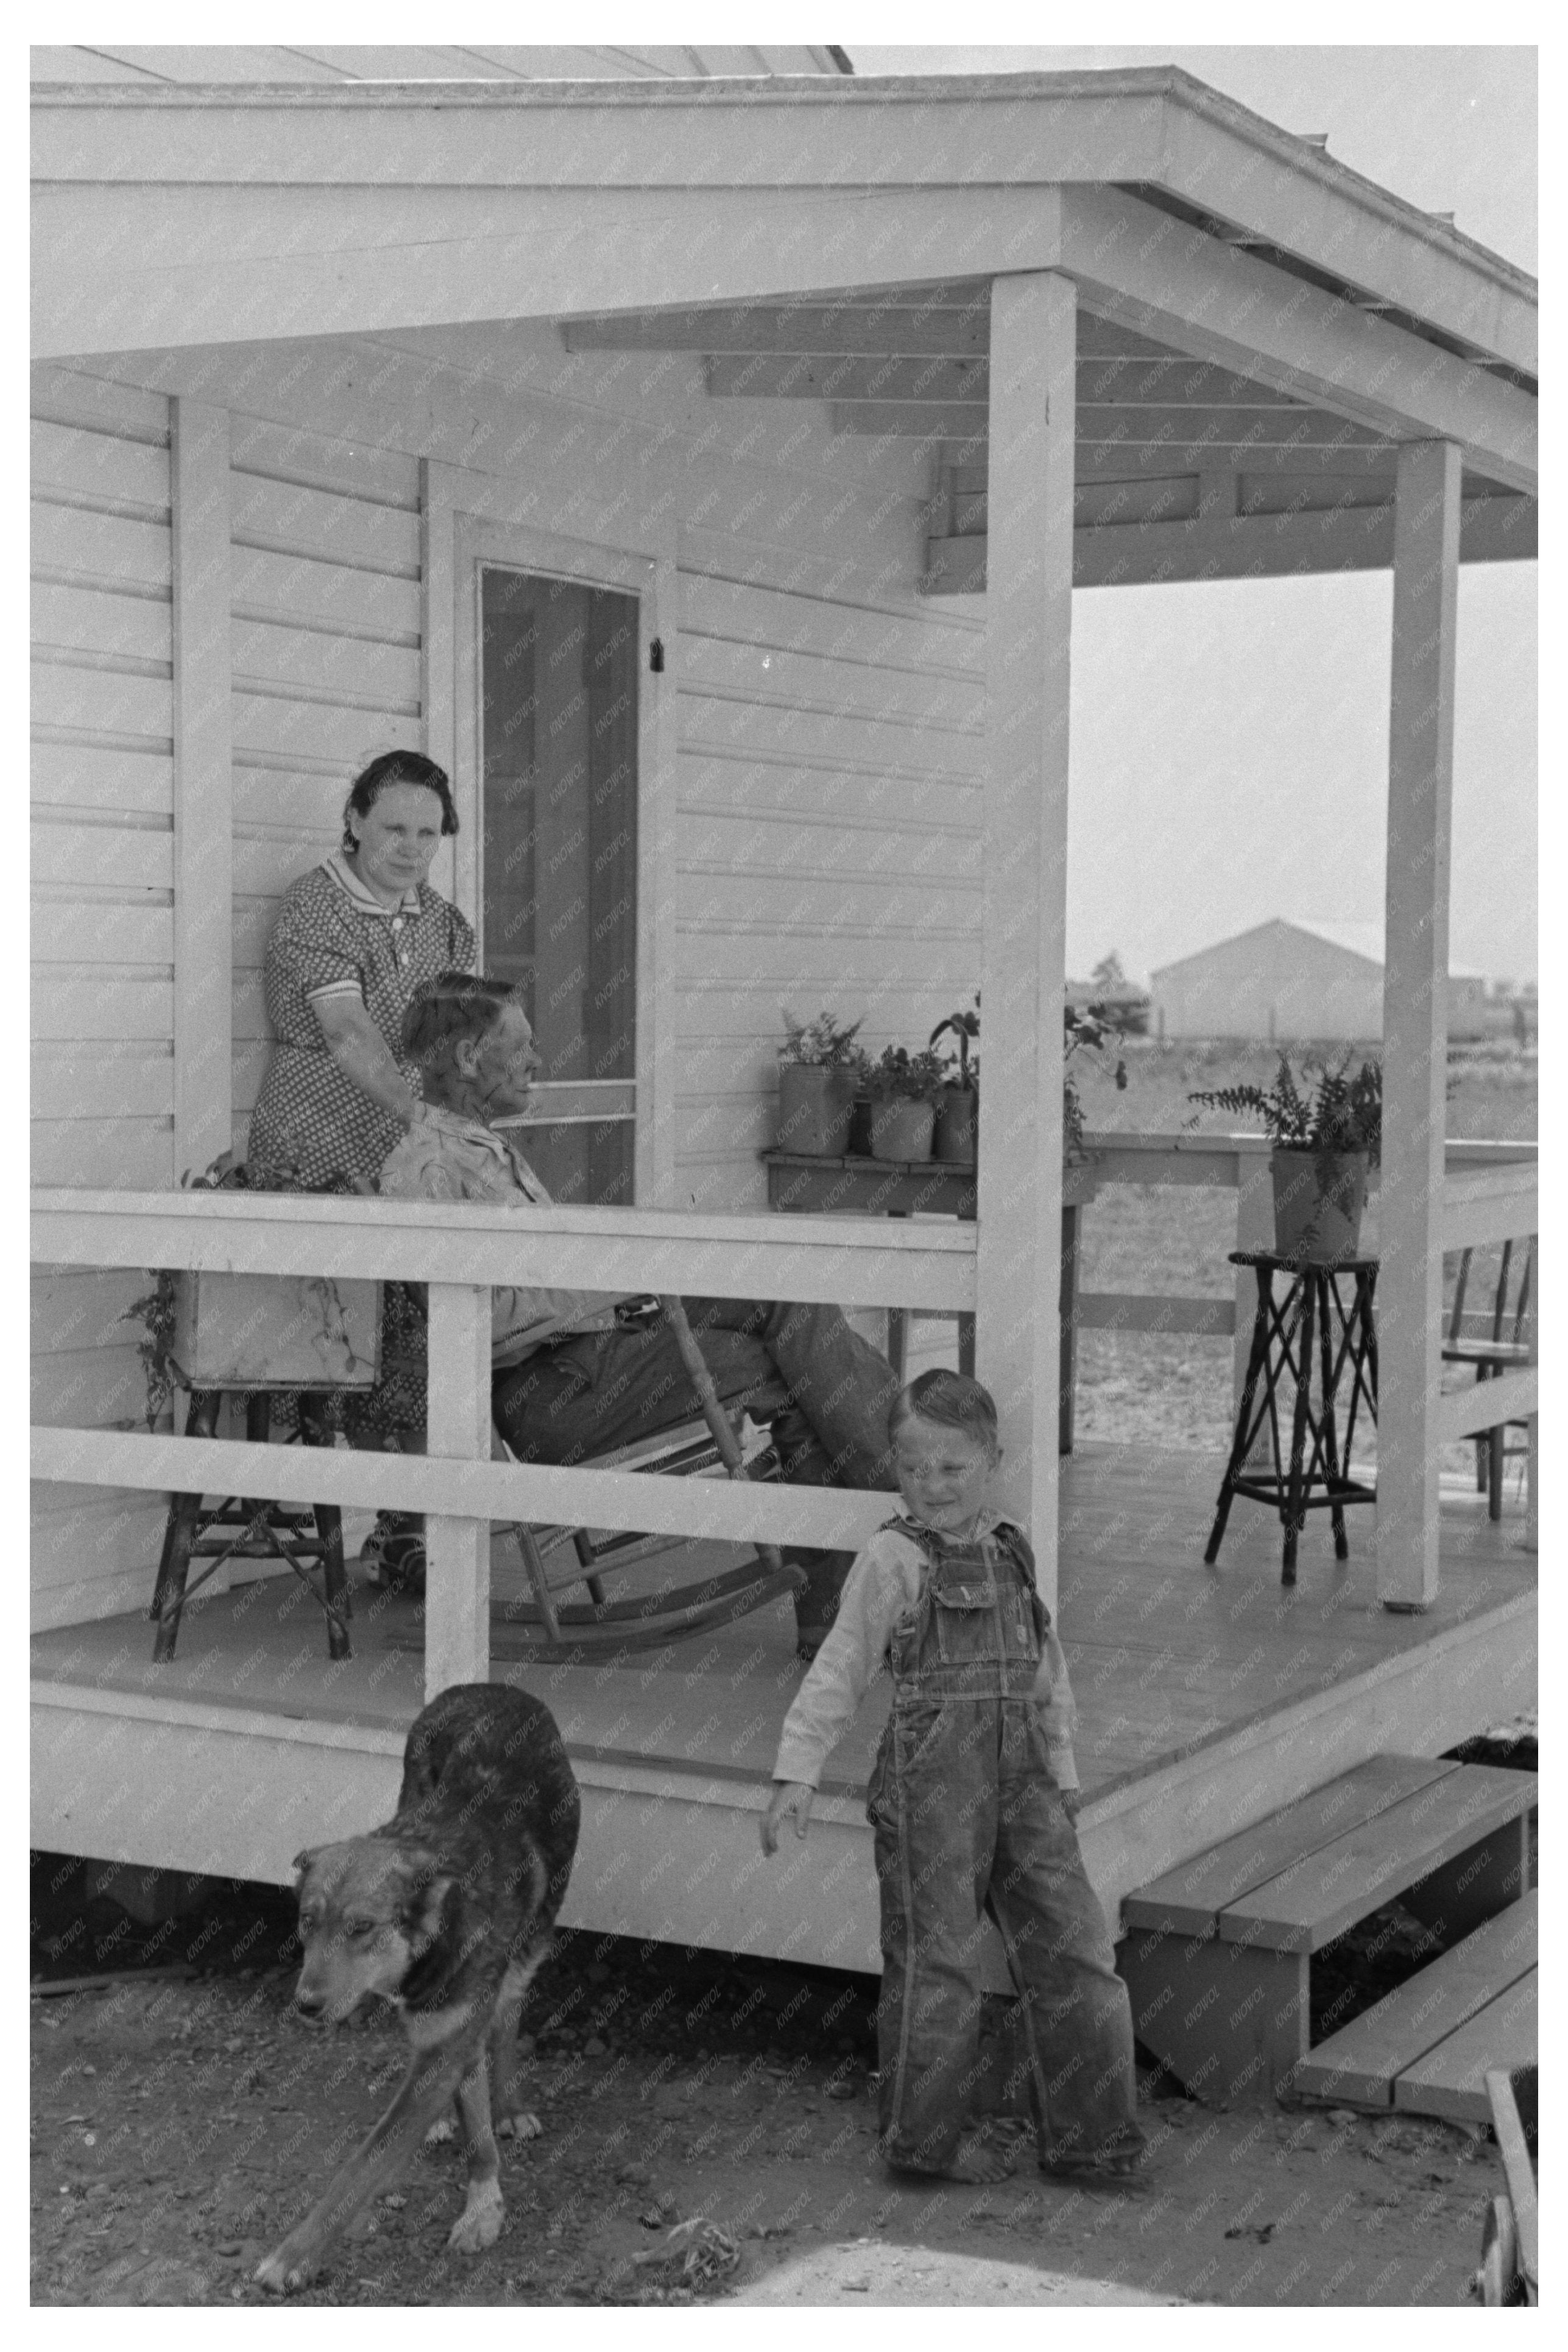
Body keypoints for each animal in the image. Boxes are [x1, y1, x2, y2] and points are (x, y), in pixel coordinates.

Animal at [257, 1684, 583, 2286]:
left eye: (361, 1927)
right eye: (308, 1921)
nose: (305, 2005)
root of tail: (492, 1688)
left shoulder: (453, 2032)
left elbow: (363, 2167)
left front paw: (294, 2254)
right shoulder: (438, 2034)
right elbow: (464, 2113)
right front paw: (481, 2189)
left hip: (533, 1940)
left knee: (507, 2014)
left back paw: (508, 2104)